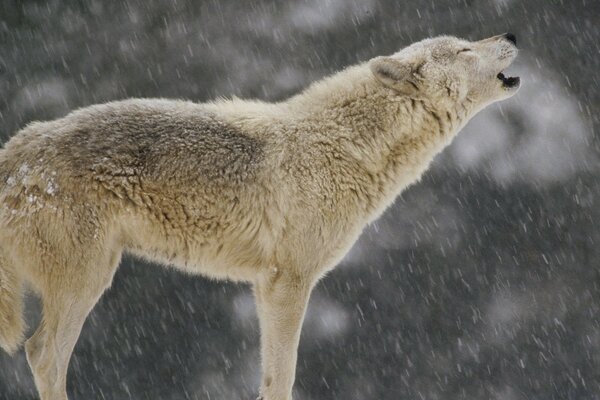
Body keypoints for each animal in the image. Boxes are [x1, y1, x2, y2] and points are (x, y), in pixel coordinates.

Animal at [0, 34, 520, 400]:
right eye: (464, 47)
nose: (512, 33)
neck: (344, 146)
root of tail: (16, 150)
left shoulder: (265, 285)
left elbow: (271, 376)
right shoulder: (288, 281)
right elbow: (283, 376)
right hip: (86, 280)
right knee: (42, 354)